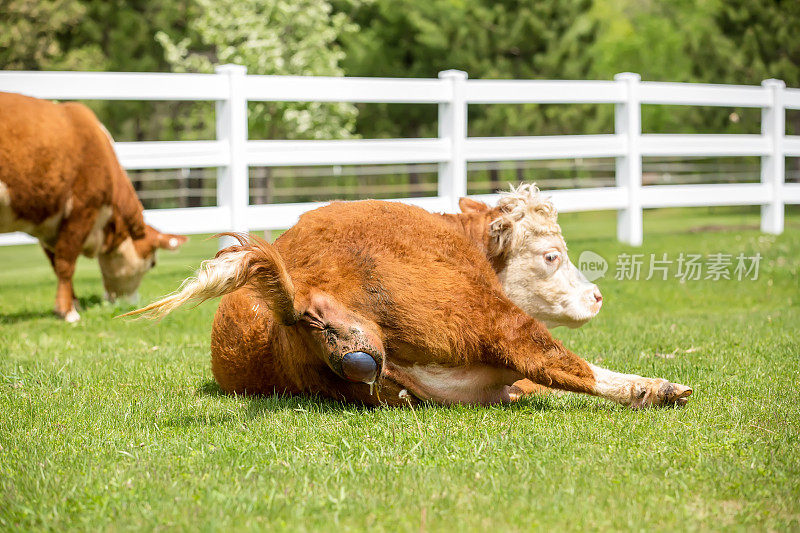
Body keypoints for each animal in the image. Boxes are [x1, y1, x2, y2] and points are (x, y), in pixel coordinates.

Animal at [0, 91, 186, 320]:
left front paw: (73, 303)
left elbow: (56, 263)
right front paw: (67, 311)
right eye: (152, 264)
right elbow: (65, 264)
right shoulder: (82, 211)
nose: (133, 302)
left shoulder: (50, 225)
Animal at [130, 189, 688, 410]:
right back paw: (656, 388)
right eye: (552, 255)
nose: (596, 296)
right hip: (486, 317)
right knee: (553, 360)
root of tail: (299, 294)